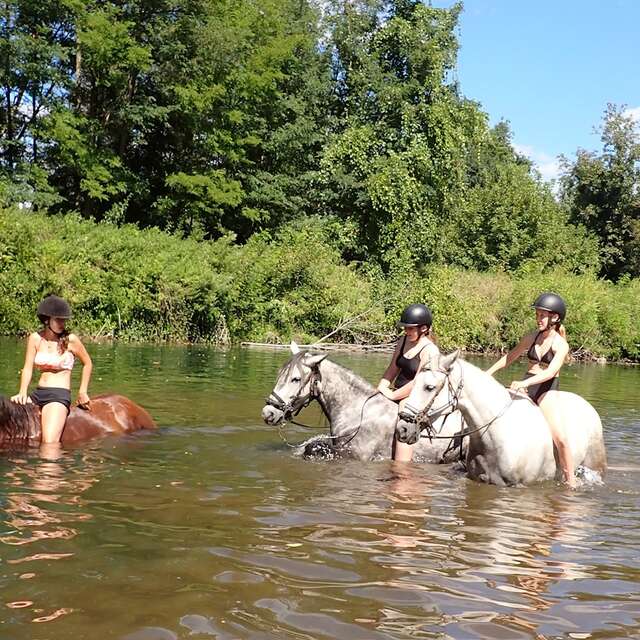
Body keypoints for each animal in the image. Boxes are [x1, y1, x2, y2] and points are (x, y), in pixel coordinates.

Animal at [261, 347, 466, 463]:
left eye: (295, 379)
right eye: (280, 375)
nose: (268, 413)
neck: (357, 412)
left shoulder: (356, 455)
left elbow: (313, 448)